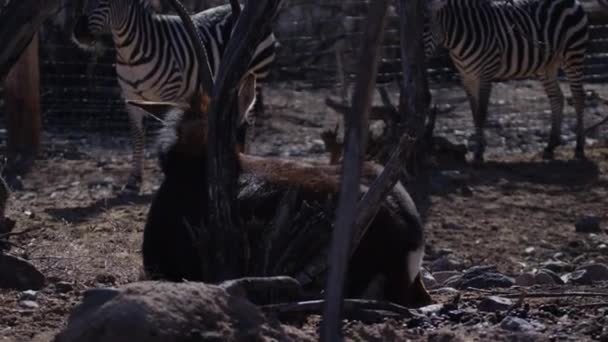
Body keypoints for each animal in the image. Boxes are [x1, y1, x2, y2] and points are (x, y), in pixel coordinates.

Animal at [72, 0, 278, 191]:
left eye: (105, 1)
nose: (79, 33)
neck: (129, 54)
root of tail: (243, 6)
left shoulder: (168, 94)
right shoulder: (129, 98)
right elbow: (138, 136)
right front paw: (133, 181)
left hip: (256, 73)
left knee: (249, 121)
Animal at [422, 0, 588, 162]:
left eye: (426, 26)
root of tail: (573, 2)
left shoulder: (486, 75)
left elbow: (481, 113)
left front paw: (479, 154)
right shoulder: (466, 77)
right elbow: (475, 114)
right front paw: (478, 149)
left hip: (573, 55)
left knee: (578, 97)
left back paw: (579, 148)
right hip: (547, 65)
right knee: (557, 97)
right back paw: (550, 146)